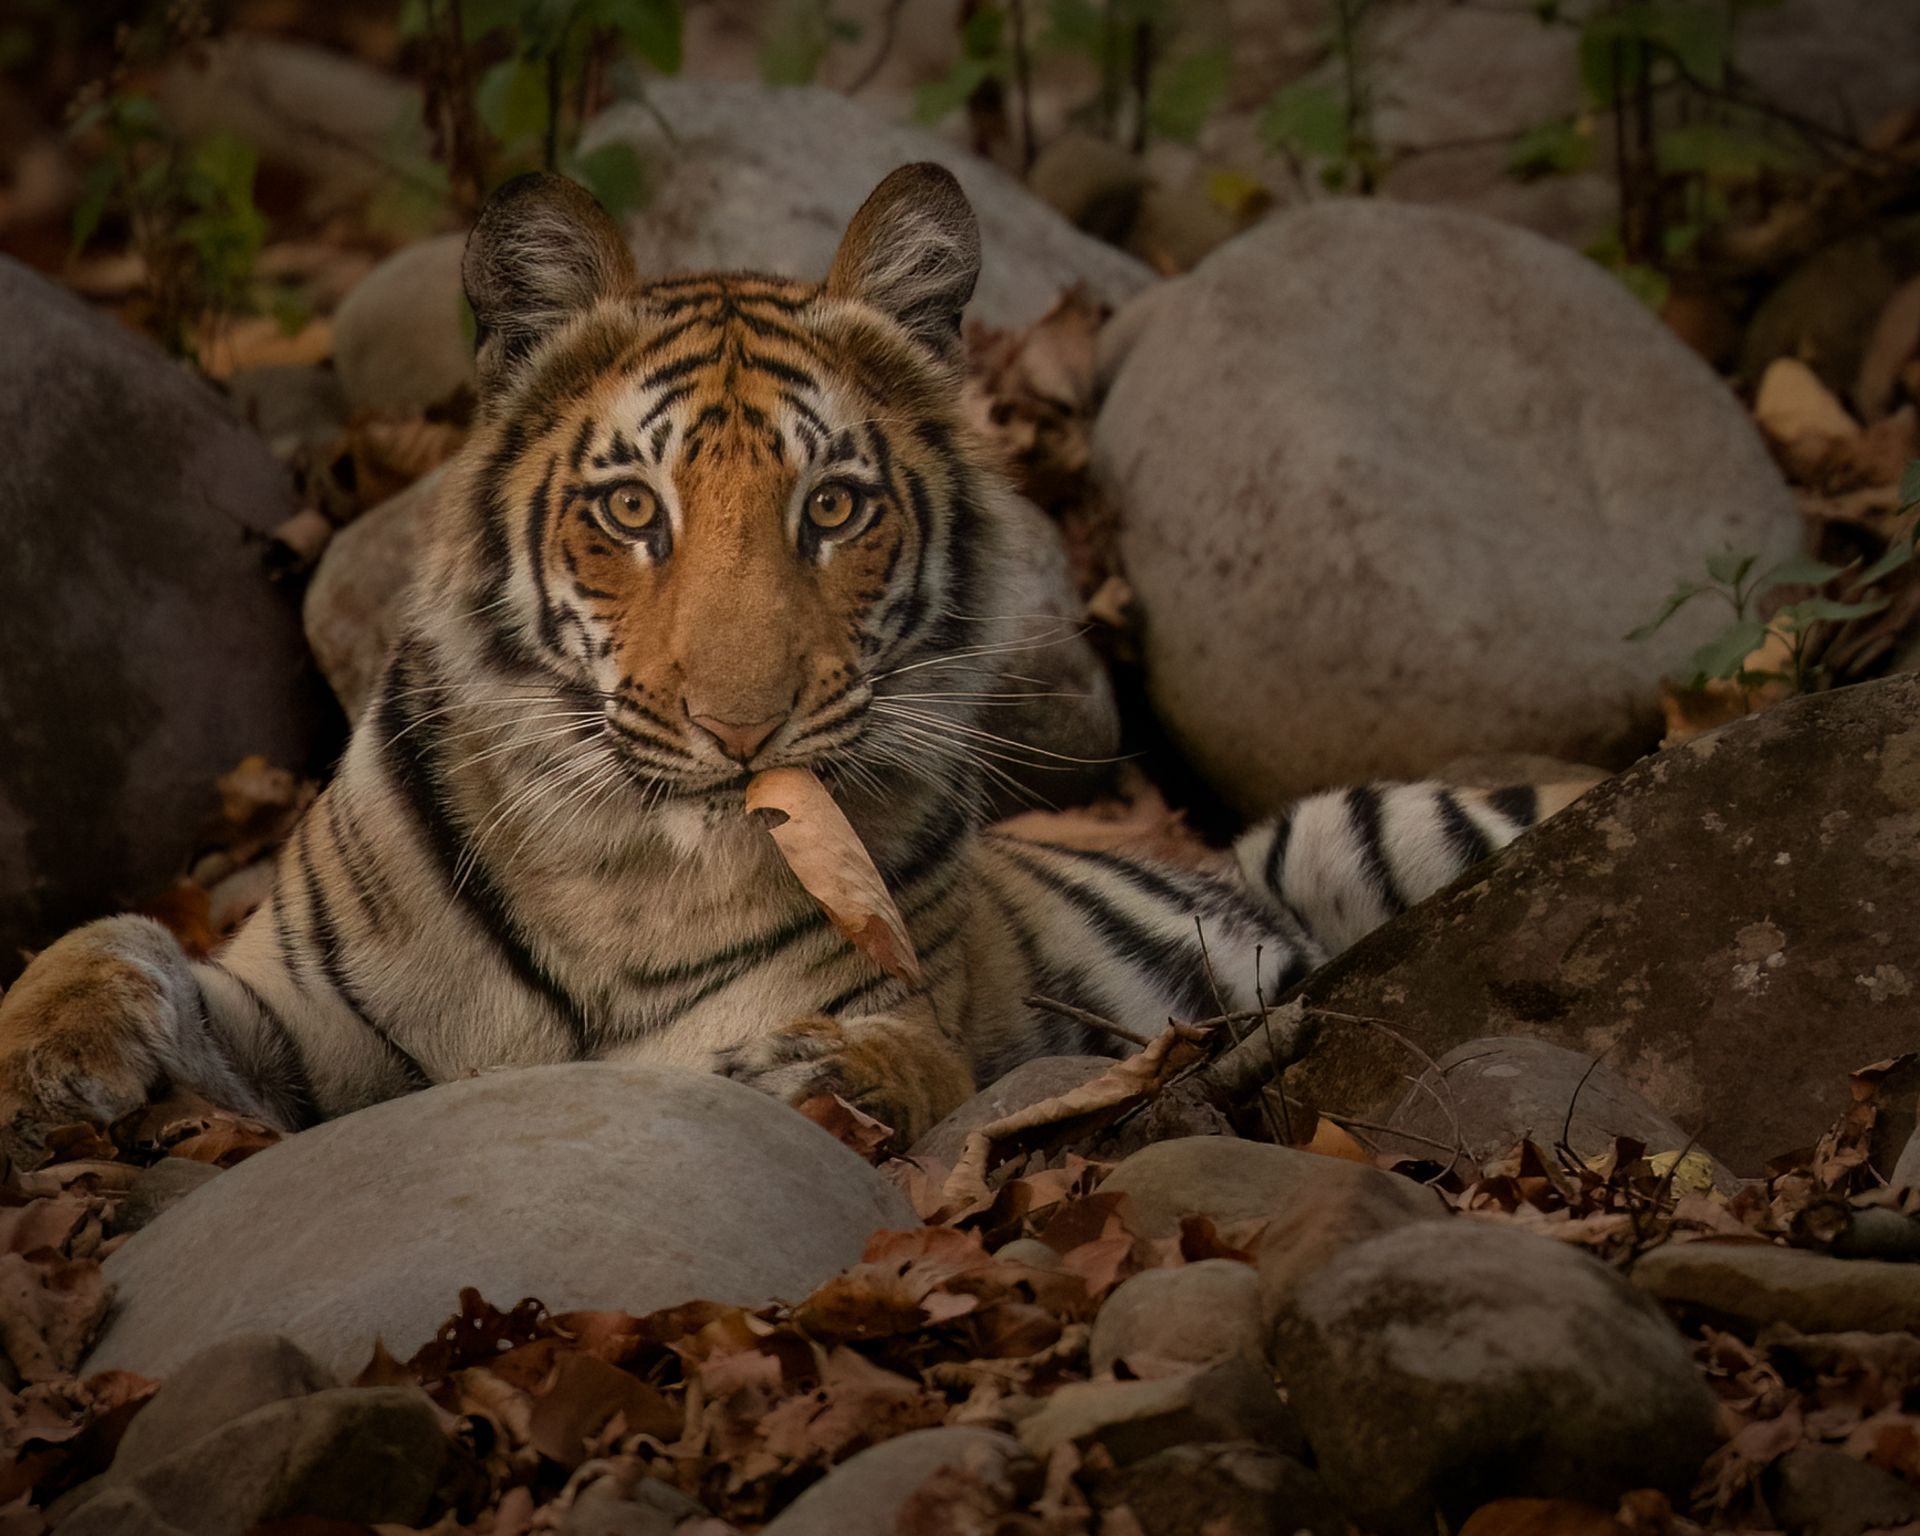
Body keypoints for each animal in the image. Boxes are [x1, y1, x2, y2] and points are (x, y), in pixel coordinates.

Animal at [0, 164, 1558, 1153]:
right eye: (634, 510)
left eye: (836, 509)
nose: (741, 728)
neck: (620, 874)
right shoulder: (306, 1020)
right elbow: (115, 936)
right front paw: (45, 1063)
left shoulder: (881, 998)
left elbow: (880, 1053)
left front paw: (806, 1073)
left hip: (1362, 831)